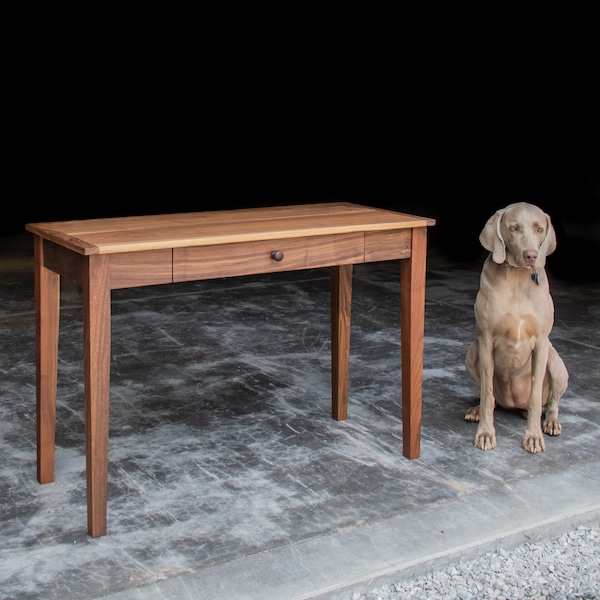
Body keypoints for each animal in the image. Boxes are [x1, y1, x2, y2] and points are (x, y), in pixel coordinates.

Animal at [466, 199, 568, 452]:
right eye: (514, 228)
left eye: (539, 228)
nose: (531, 255)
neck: (517, 277)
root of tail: (512, 405)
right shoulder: (486, 339)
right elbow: (487, 393)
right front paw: (485, 433)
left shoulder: (541, 343)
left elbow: (535, 398)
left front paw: (533, 436)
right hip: (471, 352)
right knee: (490, 398)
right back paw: (477, 409)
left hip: (556, 362)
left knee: (551, 402)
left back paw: (550, 422)